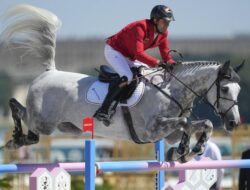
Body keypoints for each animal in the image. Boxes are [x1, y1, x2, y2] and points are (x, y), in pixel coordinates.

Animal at [0, 4, 243, 162]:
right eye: (224, 88)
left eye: (238, 90)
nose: (233, 123)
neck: (170, 90)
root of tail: (50, 72)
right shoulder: (152, 130)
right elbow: (187, 123)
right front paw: (186, 151)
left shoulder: (168, 132)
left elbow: (200, 124)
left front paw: (185, 152)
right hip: (43, 121)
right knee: (21, 113)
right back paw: (15, 139)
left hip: (67, 126)